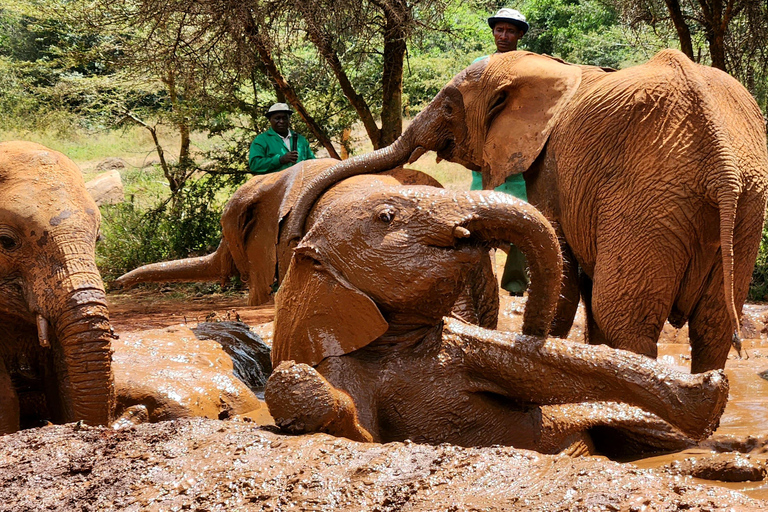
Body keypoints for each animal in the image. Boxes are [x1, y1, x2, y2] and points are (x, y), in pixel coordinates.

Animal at [264, 185, 728, 456]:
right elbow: (362, 434)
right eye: (387, 217)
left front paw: (712, 391)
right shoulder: (343, 362)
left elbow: (548, 365)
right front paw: (299, 386)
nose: (533, 324)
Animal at [280, 50, 768, 374]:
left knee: (625, 317)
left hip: (651, 194)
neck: (553, 69)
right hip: (744, 203)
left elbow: (567, 268)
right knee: (712, 326)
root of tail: (722, 158)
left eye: (448, 106)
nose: (294, 238)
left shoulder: (552, 167)